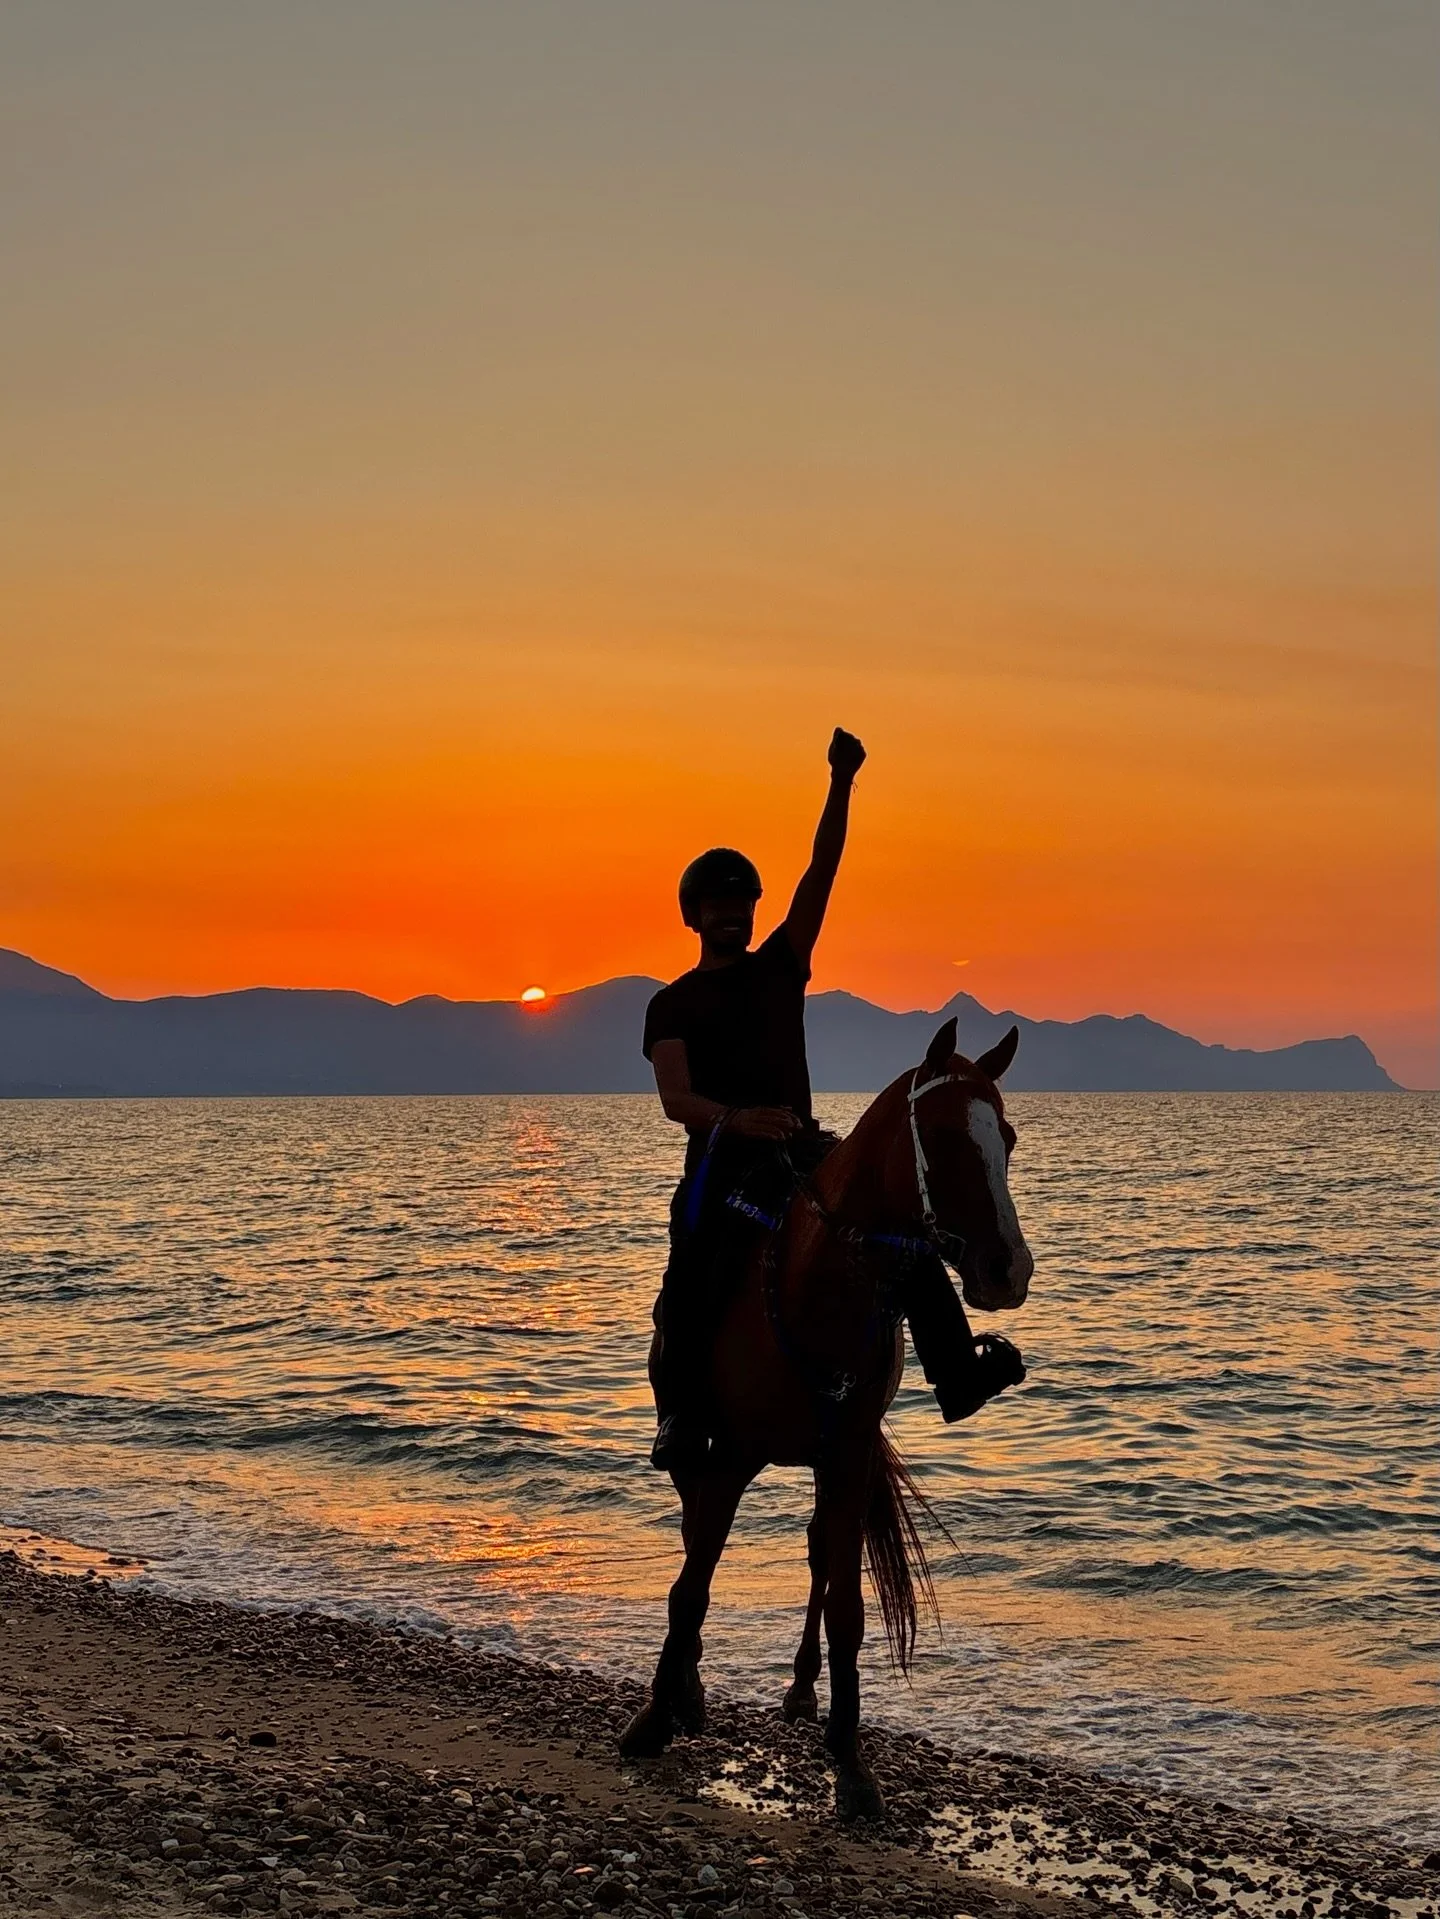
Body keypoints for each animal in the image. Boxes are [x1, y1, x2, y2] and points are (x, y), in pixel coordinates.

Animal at [620, 1016, 1034, 1820]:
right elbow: (691, 1586)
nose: (1009, 1270)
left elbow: (847, 1607)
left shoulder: (845, 1457)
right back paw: (688, 1690)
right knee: (692, 1543)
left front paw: (850, 1760)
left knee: (816, 1557)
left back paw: (802, 1689)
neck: (814, 1286)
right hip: (694, 1451)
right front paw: (654, 1716)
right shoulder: (729, 1455)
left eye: (1005, 1135)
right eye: (943, 1135)